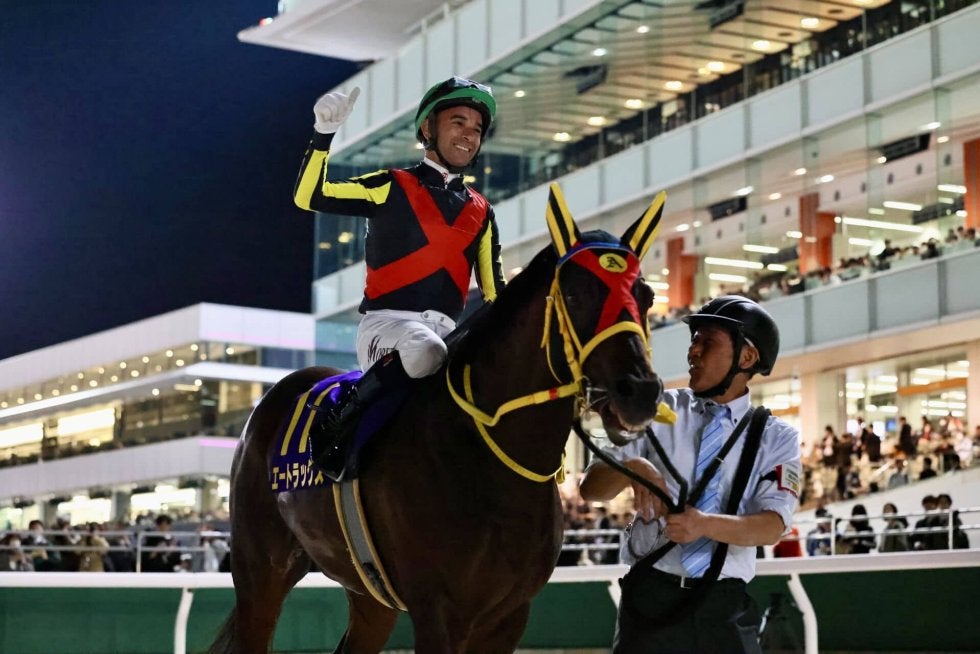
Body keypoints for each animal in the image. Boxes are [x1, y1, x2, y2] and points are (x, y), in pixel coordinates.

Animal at [208, 183, 668, 654]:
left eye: (646, 295)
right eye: (575, 295)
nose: (639, 391)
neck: (491, 457)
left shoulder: (509, 615)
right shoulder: (440, 612)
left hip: (369, 591)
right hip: (261, 570)